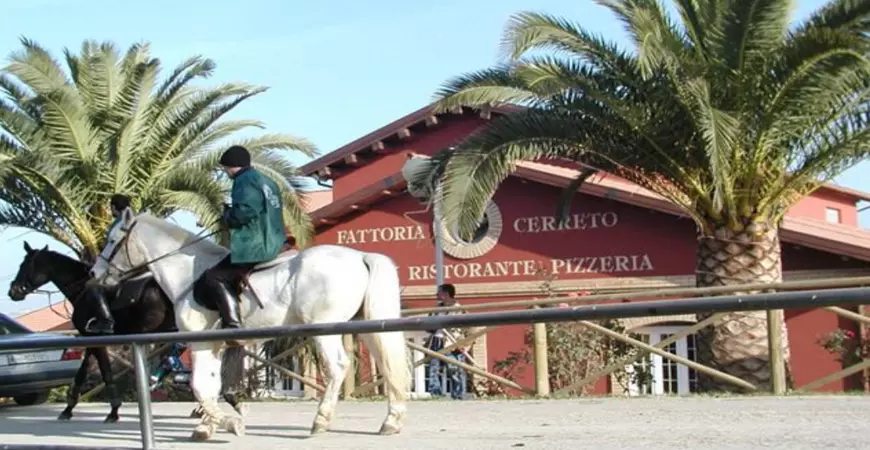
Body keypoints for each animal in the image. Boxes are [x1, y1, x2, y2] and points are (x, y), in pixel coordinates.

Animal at [7, 241, 249, 424]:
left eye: (25, 264)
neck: (83, 289)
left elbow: (98, 372)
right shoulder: (95, 339)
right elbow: (87, 371)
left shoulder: (94, 339)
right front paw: (72, 409)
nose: (13, 291)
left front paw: (109, 412)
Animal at [89, 209, 411, 441]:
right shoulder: (216, 345)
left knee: (338, 367)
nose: (95, 273)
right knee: (386, 363)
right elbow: (212, 385)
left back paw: (321, 420)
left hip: (325, 328)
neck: (188, 273)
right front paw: (207, 426)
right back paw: (392, 421)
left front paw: (227, 424)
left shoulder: (200, 341)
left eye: (112, 240)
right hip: (368, 325)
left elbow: (200, 385)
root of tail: (361, 256)